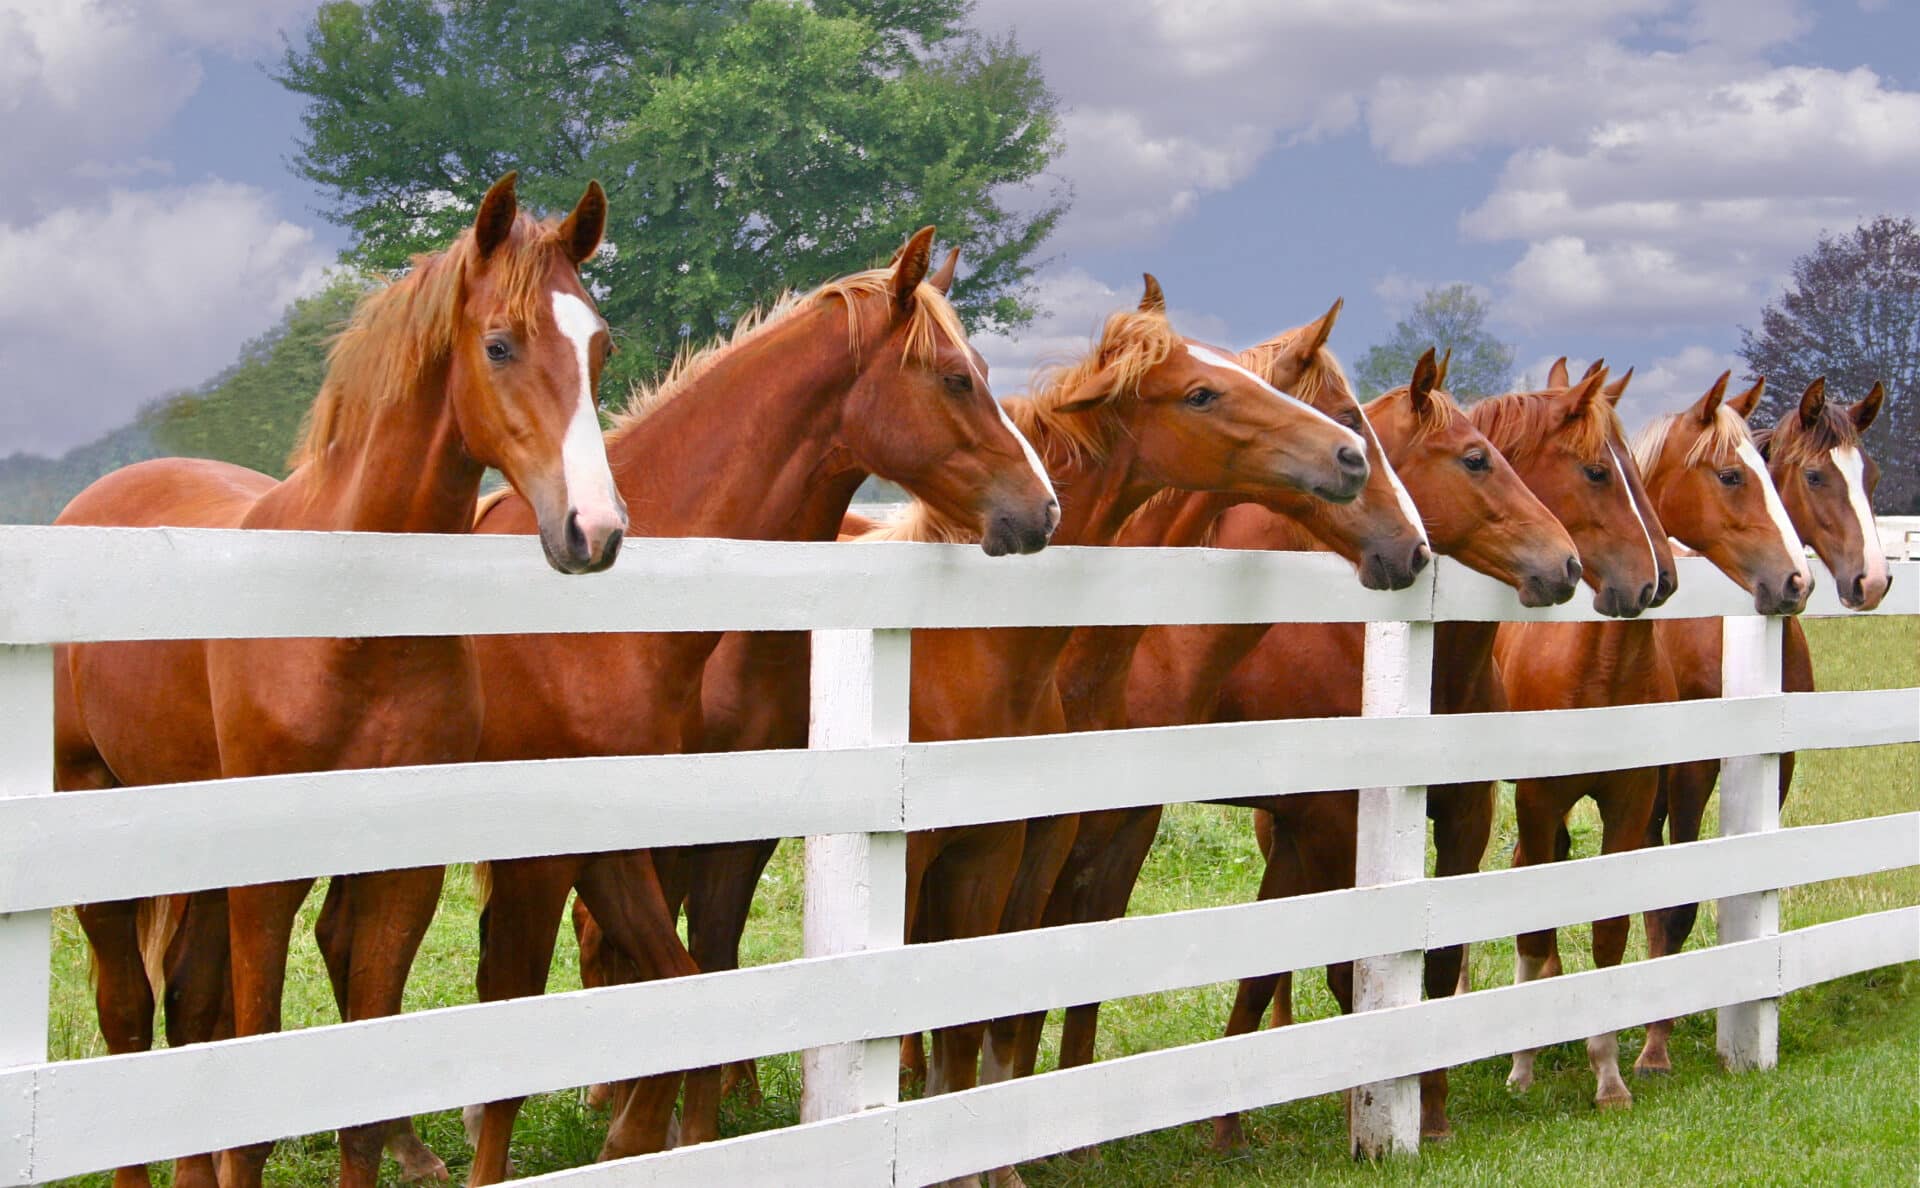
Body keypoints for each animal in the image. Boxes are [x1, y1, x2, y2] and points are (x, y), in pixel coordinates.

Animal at [50, 173, 622, 1188]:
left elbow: (357, 1084)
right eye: (500, 344)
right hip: (98, 811)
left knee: (188, 1009)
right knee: (127, 1015)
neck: (354, 624)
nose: (593, 530)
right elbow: (255, 1083)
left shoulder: (402, 871)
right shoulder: (267, 877)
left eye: (599, 344)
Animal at [457, 229, 1061, 1181]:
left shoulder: (708, 837)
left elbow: (705, 971)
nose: (1041, 510)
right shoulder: (559, 849)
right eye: (955, 378)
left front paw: (667, 1134)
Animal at [1496, 368, 1811, 1109]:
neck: (1599, 666)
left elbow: (1622, 926)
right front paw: (1526, 1066)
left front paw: (1613, 1071)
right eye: (1731, 474)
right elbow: (1537, 919)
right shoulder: (1540, 797)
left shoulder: (1637, 798)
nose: (1796, 580)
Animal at [1634, 376, 1888, 1073]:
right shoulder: (1690, 770)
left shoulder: (1777, 767)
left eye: (1872, 476)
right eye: (1816, 476)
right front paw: (1654, 1050)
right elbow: (1675, 907)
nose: (1875, 579)